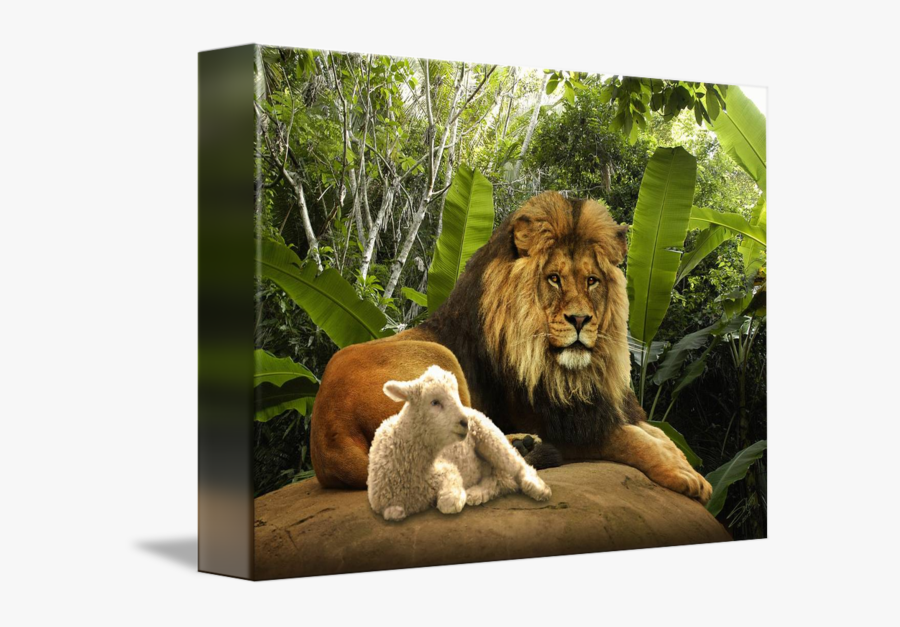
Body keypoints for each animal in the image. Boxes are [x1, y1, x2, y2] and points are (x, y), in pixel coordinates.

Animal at [310, 191, 712, 503]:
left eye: (592, 281)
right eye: (554, 279)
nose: (580, 320)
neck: (572, 372)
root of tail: (326, 431)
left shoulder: (604, 408)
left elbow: (658, 434)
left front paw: (686, 465)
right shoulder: (565, 425)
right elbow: (632, 440)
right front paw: (686, 477)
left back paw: (524, 446)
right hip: (440, 358)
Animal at [367, 365, 552, 522]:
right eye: (434, 402)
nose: (465, 422)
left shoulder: (446, 468)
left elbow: (449, 502)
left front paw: (455, 497)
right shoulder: (383, 503)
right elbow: (393, 513)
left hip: (490, 436)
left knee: (517, 467)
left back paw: (539, 489)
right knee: (498, 479)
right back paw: (477, 494)